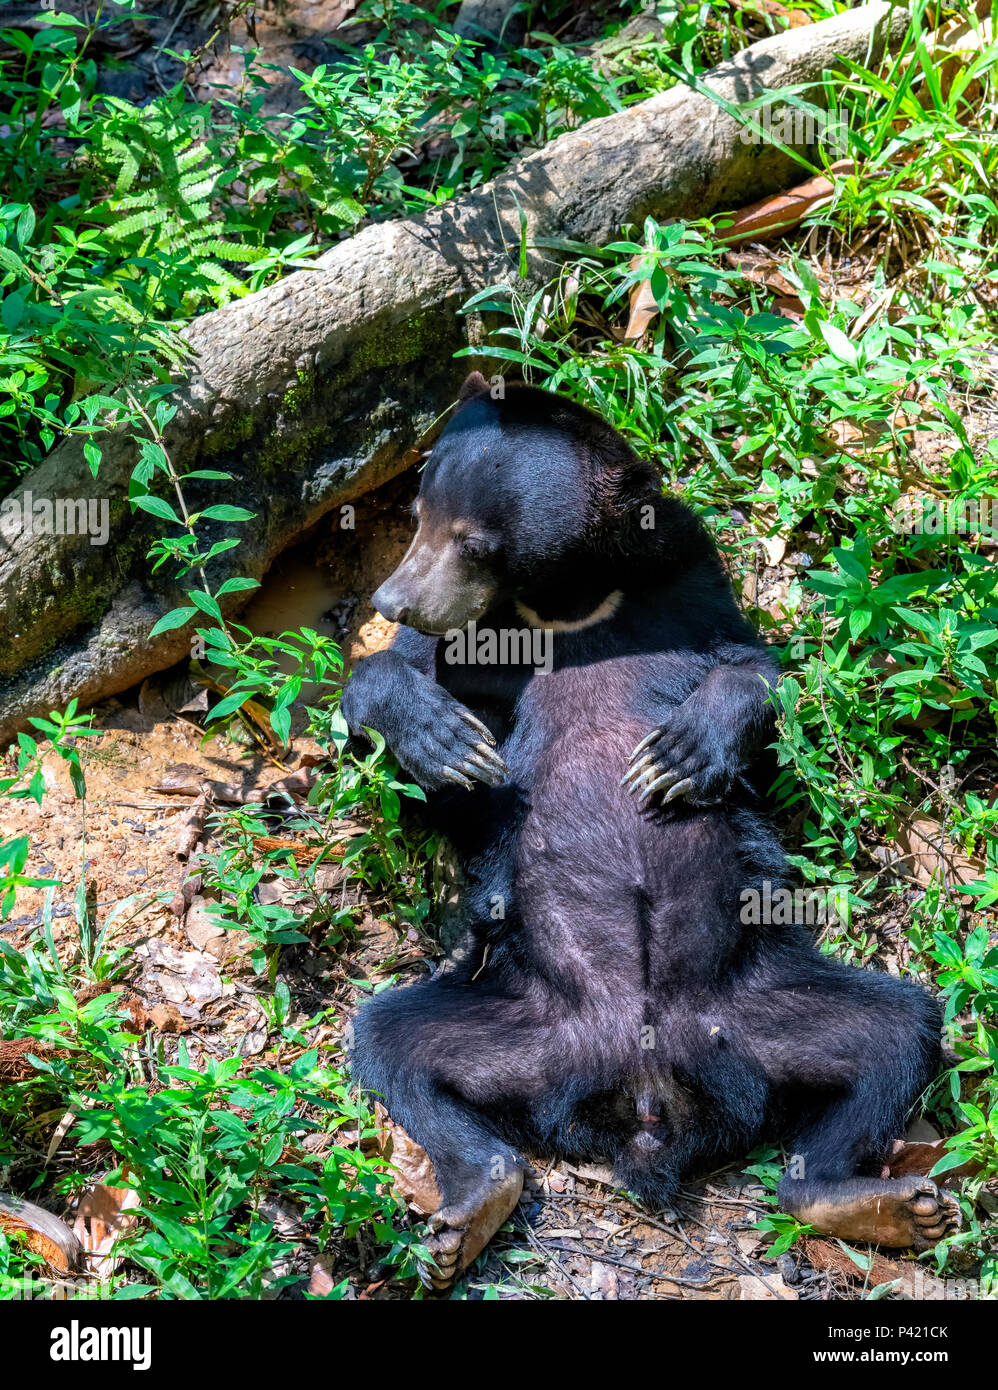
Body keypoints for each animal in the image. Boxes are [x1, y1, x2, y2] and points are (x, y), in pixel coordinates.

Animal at [340, 372, 956, 1289]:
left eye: (476, 542)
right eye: (417, 513)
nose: (393, 599)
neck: (565, 606)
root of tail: (644, 1096)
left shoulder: (688, 569)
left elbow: (755, 666)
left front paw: (678, 754)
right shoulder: (462, 646)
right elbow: (390, 691)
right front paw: (443, 739)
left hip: (761, 1007)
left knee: (897, 1029)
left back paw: (870, 1200)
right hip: (520, 1022)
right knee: (394, 1043)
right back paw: (471, 1206)